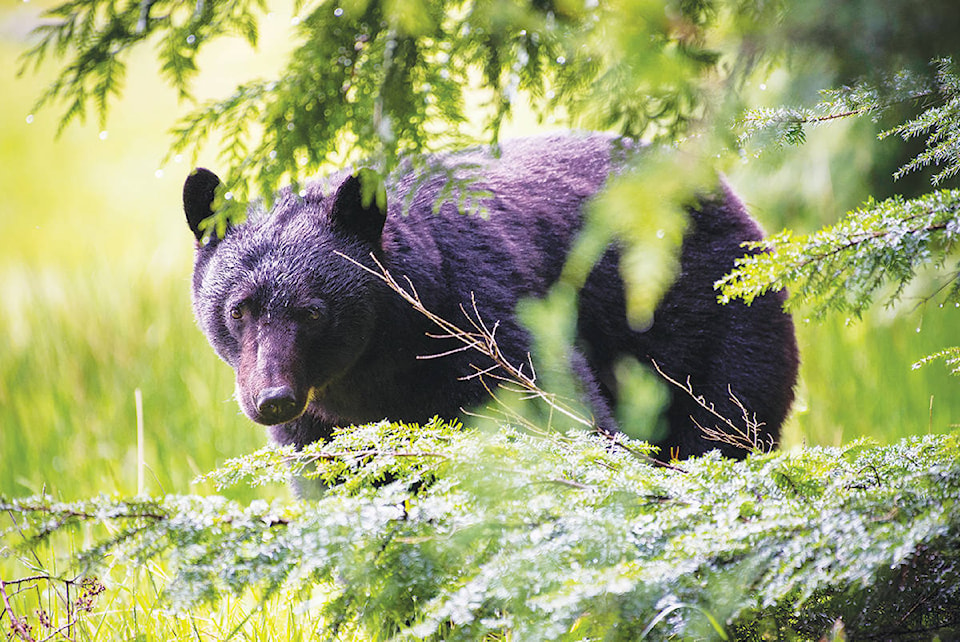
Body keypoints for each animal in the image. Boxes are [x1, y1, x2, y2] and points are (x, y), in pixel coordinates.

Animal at [184, 132, 800, 458]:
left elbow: (562, 408)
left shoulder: (487, 312)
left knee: (725, 419)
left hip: (713, 313)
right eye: (238, 309)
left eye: (313, 312)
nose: (273, 398)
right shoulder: (320, 424)